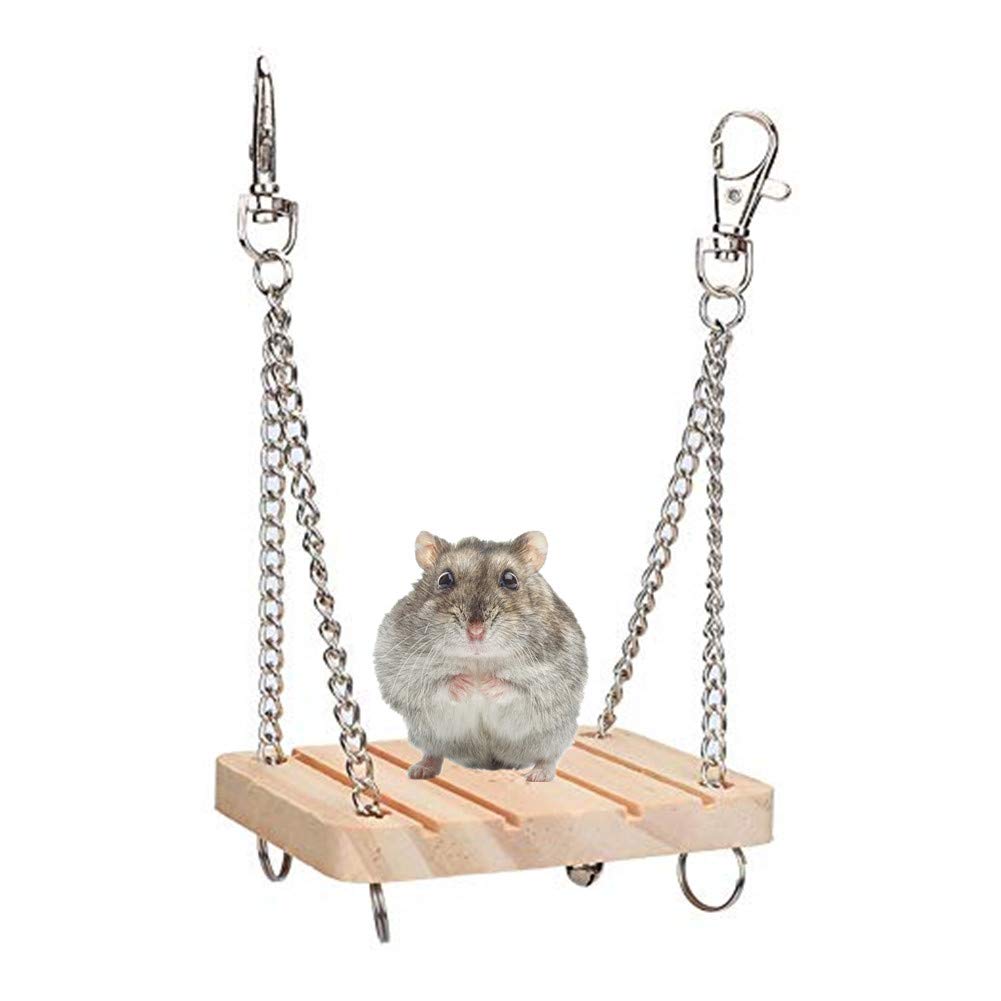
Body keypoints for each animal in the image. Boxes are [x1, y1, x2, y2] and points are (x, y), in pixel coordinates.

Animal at [374, 531, 587, 782]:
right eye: (445, 579)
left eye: (510, 579)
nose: (475, 631)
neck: (478, 659)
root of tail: (490, 761)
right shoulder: (399, 667)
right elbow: (434, 684)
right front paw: (468, 684)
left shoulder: (552, 677)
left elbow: (518, 688)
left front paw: (484, 684)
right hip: (429, 736)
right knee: (434, 752)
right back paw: (421, 769)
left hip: (554, 735)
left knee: (549, 757)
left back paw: (538, 775)